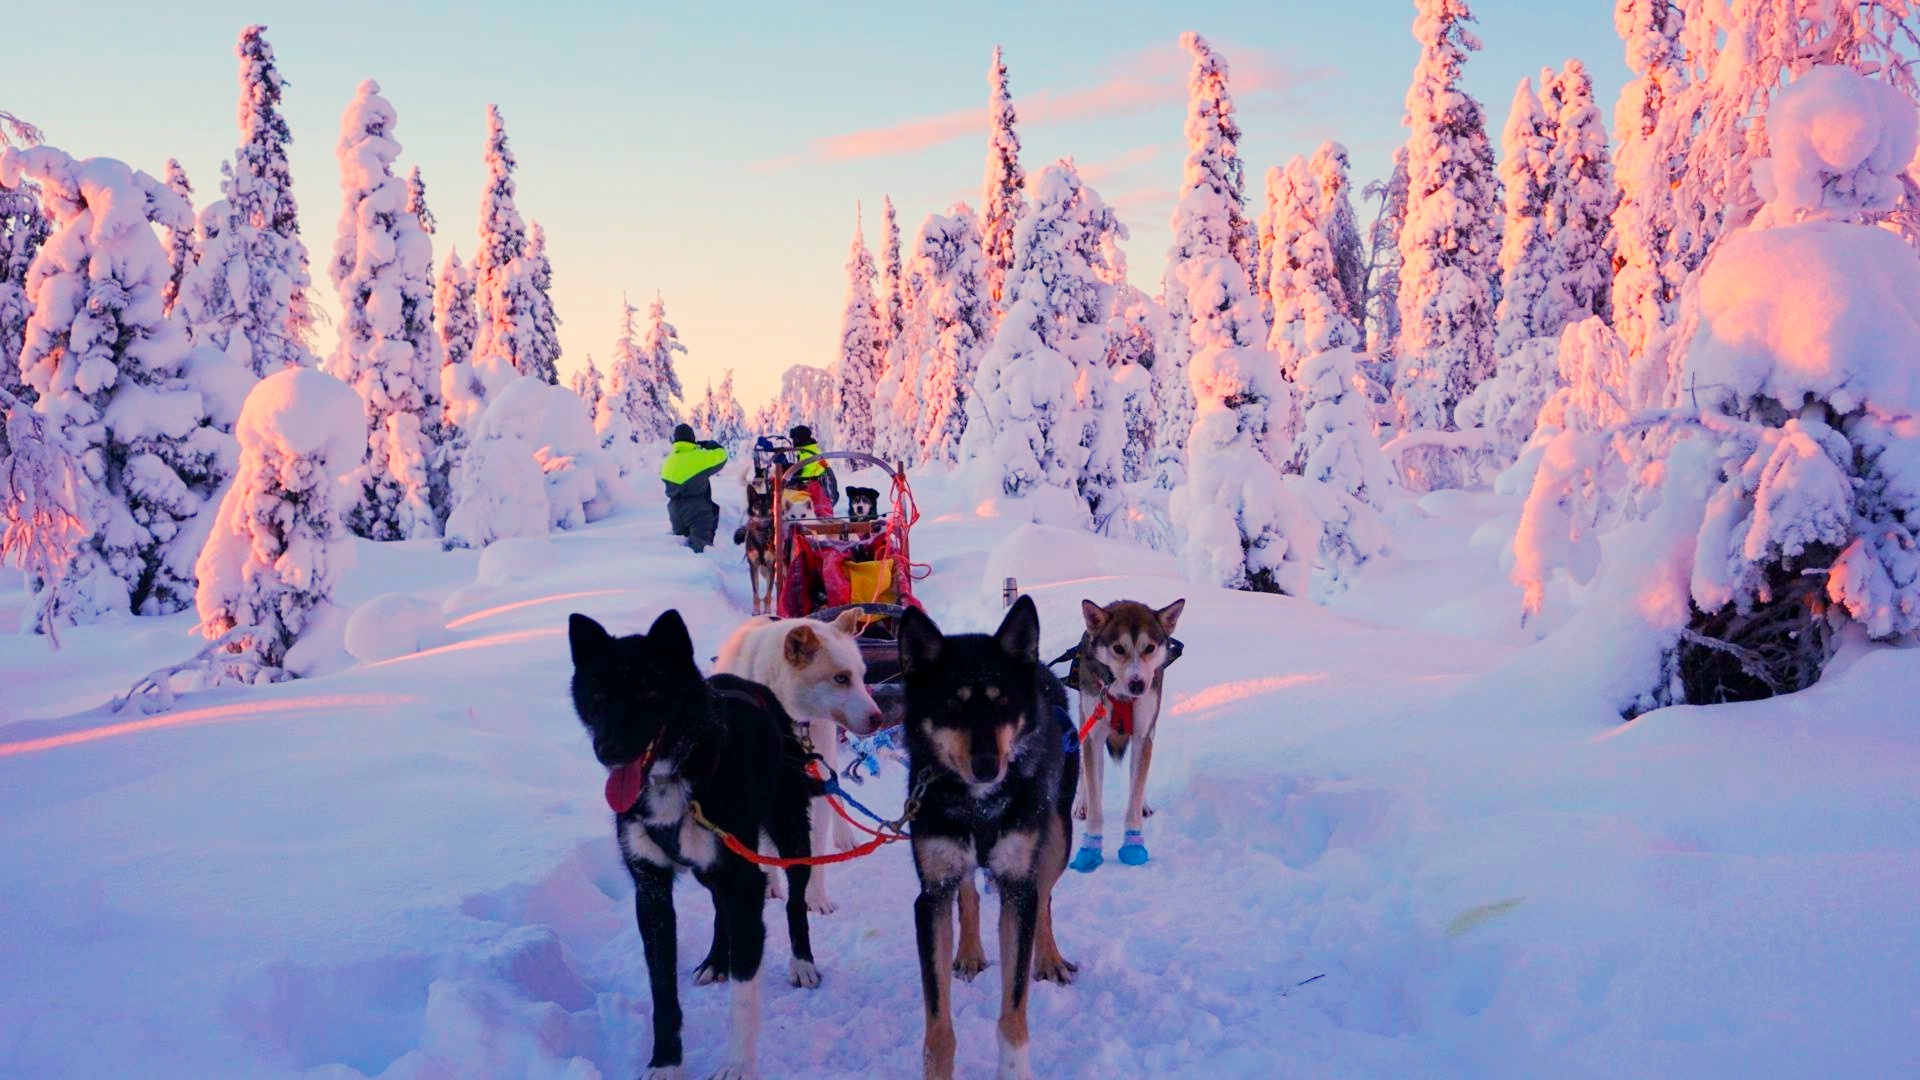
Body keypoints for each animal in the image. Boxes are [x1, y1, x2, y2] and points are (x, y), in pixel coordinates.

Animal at [560, 611, 817, 1068]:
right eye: (598, 695)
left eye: (648, 692)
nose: (607, 750)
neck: (675, 779)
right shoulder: (651, 891)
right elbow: (662, 990)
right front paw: (665, 1064)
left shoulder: (744, 881)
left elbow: (744, 992)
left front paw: (737, 1066)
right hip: (710, 866)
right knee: (718, 907)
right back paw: (716, 959)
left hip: (790, 834)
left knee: (794, 900)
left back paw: (801, 961)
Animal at [714, 607, 883, 907]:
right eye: (841, 678)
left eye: (862, 675)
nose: (878, 718)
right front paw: (771, 883)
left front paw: (815, 899)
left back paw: (844, 834)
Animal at [890, 591, 1075, 1076]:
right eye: (952, 706)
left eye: (1002, 702)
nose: (989, 766)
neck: (979, 806)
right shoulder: (931, 894)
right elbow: (938, 1028)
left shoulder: (1016, 884)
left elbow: (1013, 1011)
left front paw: (1014, 1068)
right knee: (969, 893)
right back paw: (971, 951)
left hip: (1057, 840)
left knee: (1044, 899)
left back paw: (1048, 958)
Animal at [1067, 591, 1182, 868]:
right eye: (1118, 648)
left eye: (1149, 648)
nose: (1138, 684)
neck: (1120, 694)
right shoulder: (1094, 736)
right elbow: (1095, 794)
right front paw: (1090, 848)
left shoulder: (1143, 736)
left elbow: (1136, 788)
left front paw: (1133, 844)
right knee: (1085, 770)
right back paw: (1081, 803)